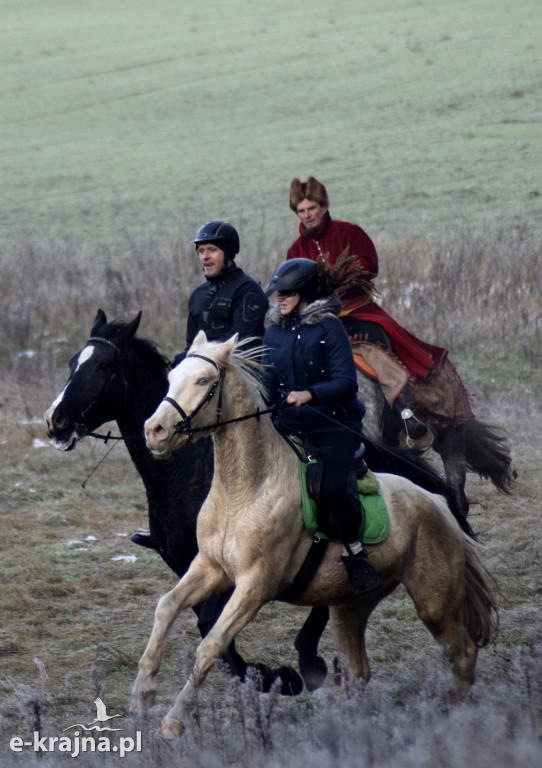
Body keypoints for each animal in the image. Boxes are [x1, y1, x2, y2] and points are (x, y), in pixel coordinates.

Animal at [46, 308, 478, 692]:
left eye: (103, 366)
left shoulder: (240, 574)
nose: (55, 420)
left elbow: (211, 628)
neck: (191, 471)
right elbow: (202, 623)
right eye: (71, 363)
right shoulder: (195, 564)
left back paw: (310, 661)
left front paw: (274, 678)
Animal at [134, 332, 500, 740]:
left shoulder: (255, 585)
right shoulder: (210, 567)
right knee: (358, 671)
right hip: (350, 607)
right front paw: (142, 693)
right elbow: (167, 607)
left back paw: (455, 722)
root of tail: (438, 503)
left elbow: (211, 644)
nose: (154, 430)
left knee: (462, 653)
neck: (245, 490)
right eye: (171, 378)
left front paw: (174, 719)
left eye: (203, 381)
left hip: (435, 603)